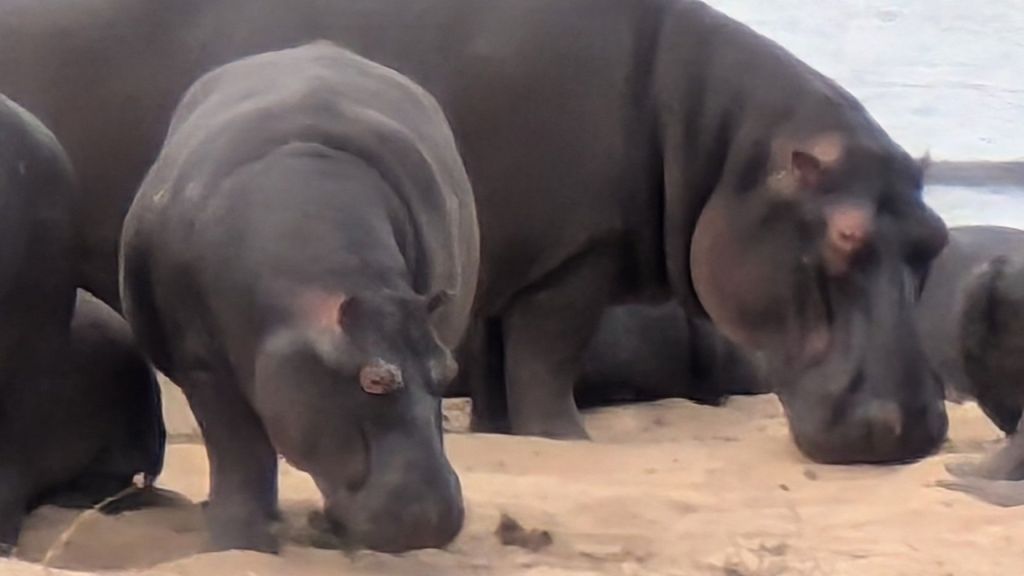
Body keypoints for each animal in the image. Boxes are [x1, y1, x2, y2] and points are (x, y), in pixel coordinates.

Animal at [1, 0, 948, 463]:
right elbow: (546, 359)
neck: (718, 141)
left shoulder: (512, 259)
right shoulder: (575, 260)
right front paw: (569, 440)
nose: (919, 429)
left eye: (935, 240)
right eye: (847, 237)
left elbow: (499, 366)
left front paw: (510, 439)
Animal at [120, 42, 478, 553]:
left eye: (449, 369)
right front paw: (240, 542)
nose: (436, 518)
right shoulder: (204, 366)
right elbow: (238, 452)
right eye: (374, 380)